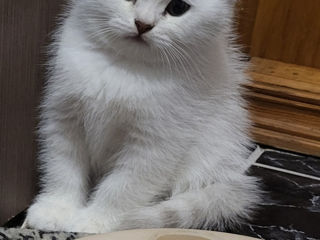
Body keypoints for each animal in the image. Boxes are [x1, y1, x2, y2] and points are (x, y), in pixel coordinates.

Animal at [26, 0, 262, 233]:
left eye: (177, 7)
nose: (143, 24)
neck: (124, 68)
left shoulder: (154, 144)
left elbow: (123, 186)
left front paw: (97, 219)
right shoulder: (64, 119)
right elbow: (62, 168)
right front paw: (56, 208)